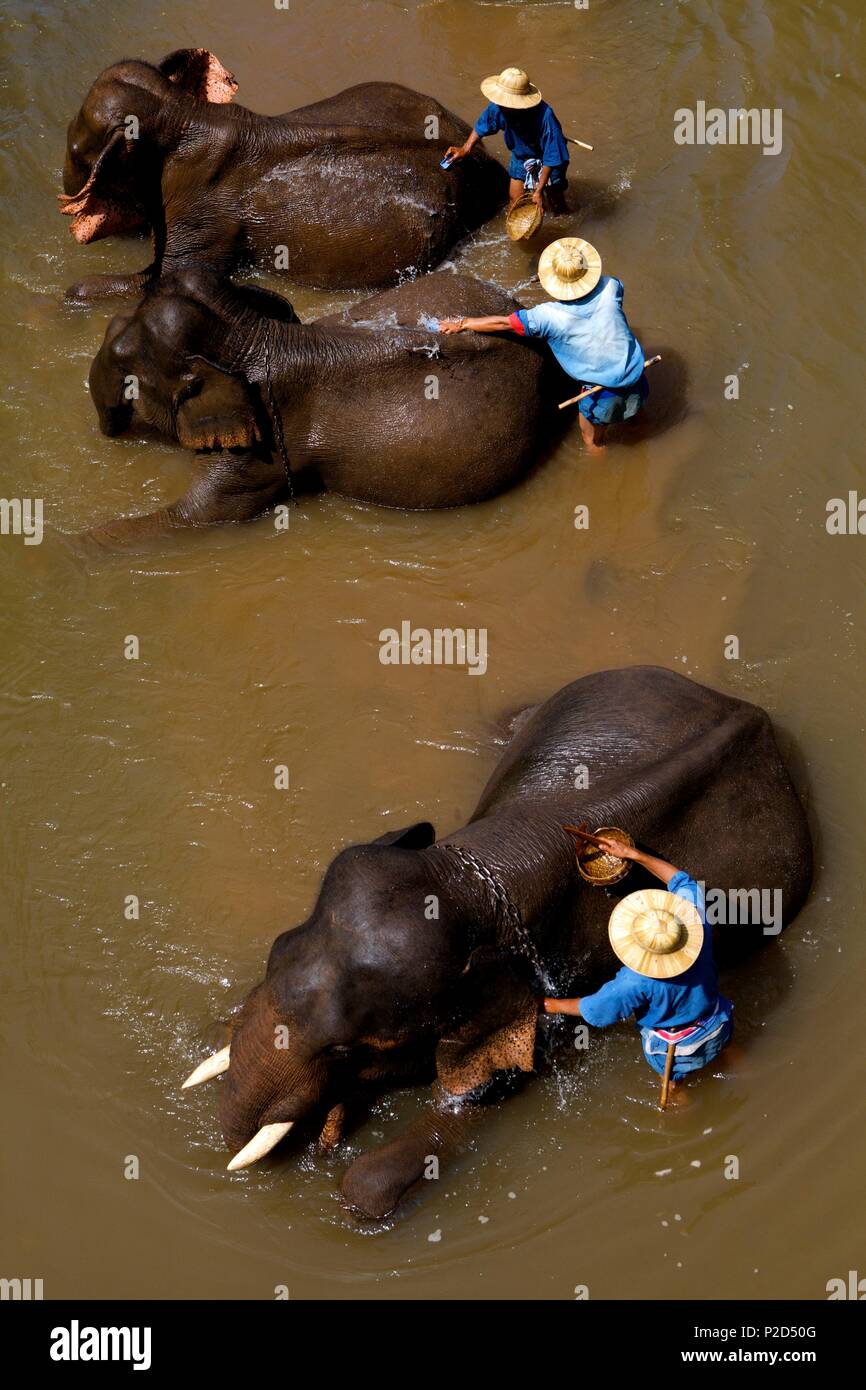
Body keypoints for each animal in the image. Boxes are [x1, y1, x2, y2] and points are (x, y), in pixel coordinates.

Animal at [59, 46, 508, 298]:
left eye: (78, 155)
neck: (182, 111)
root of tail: (488, 164)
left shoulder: (203, 211)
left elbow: (164, 280)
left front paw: (73, 291)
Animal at [83, 265, 561, 542]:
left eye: (125, 368)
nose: (111, 427)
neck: (253, 335)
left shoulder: (261, 449)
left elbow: (198, 516)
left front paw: (79, 547)